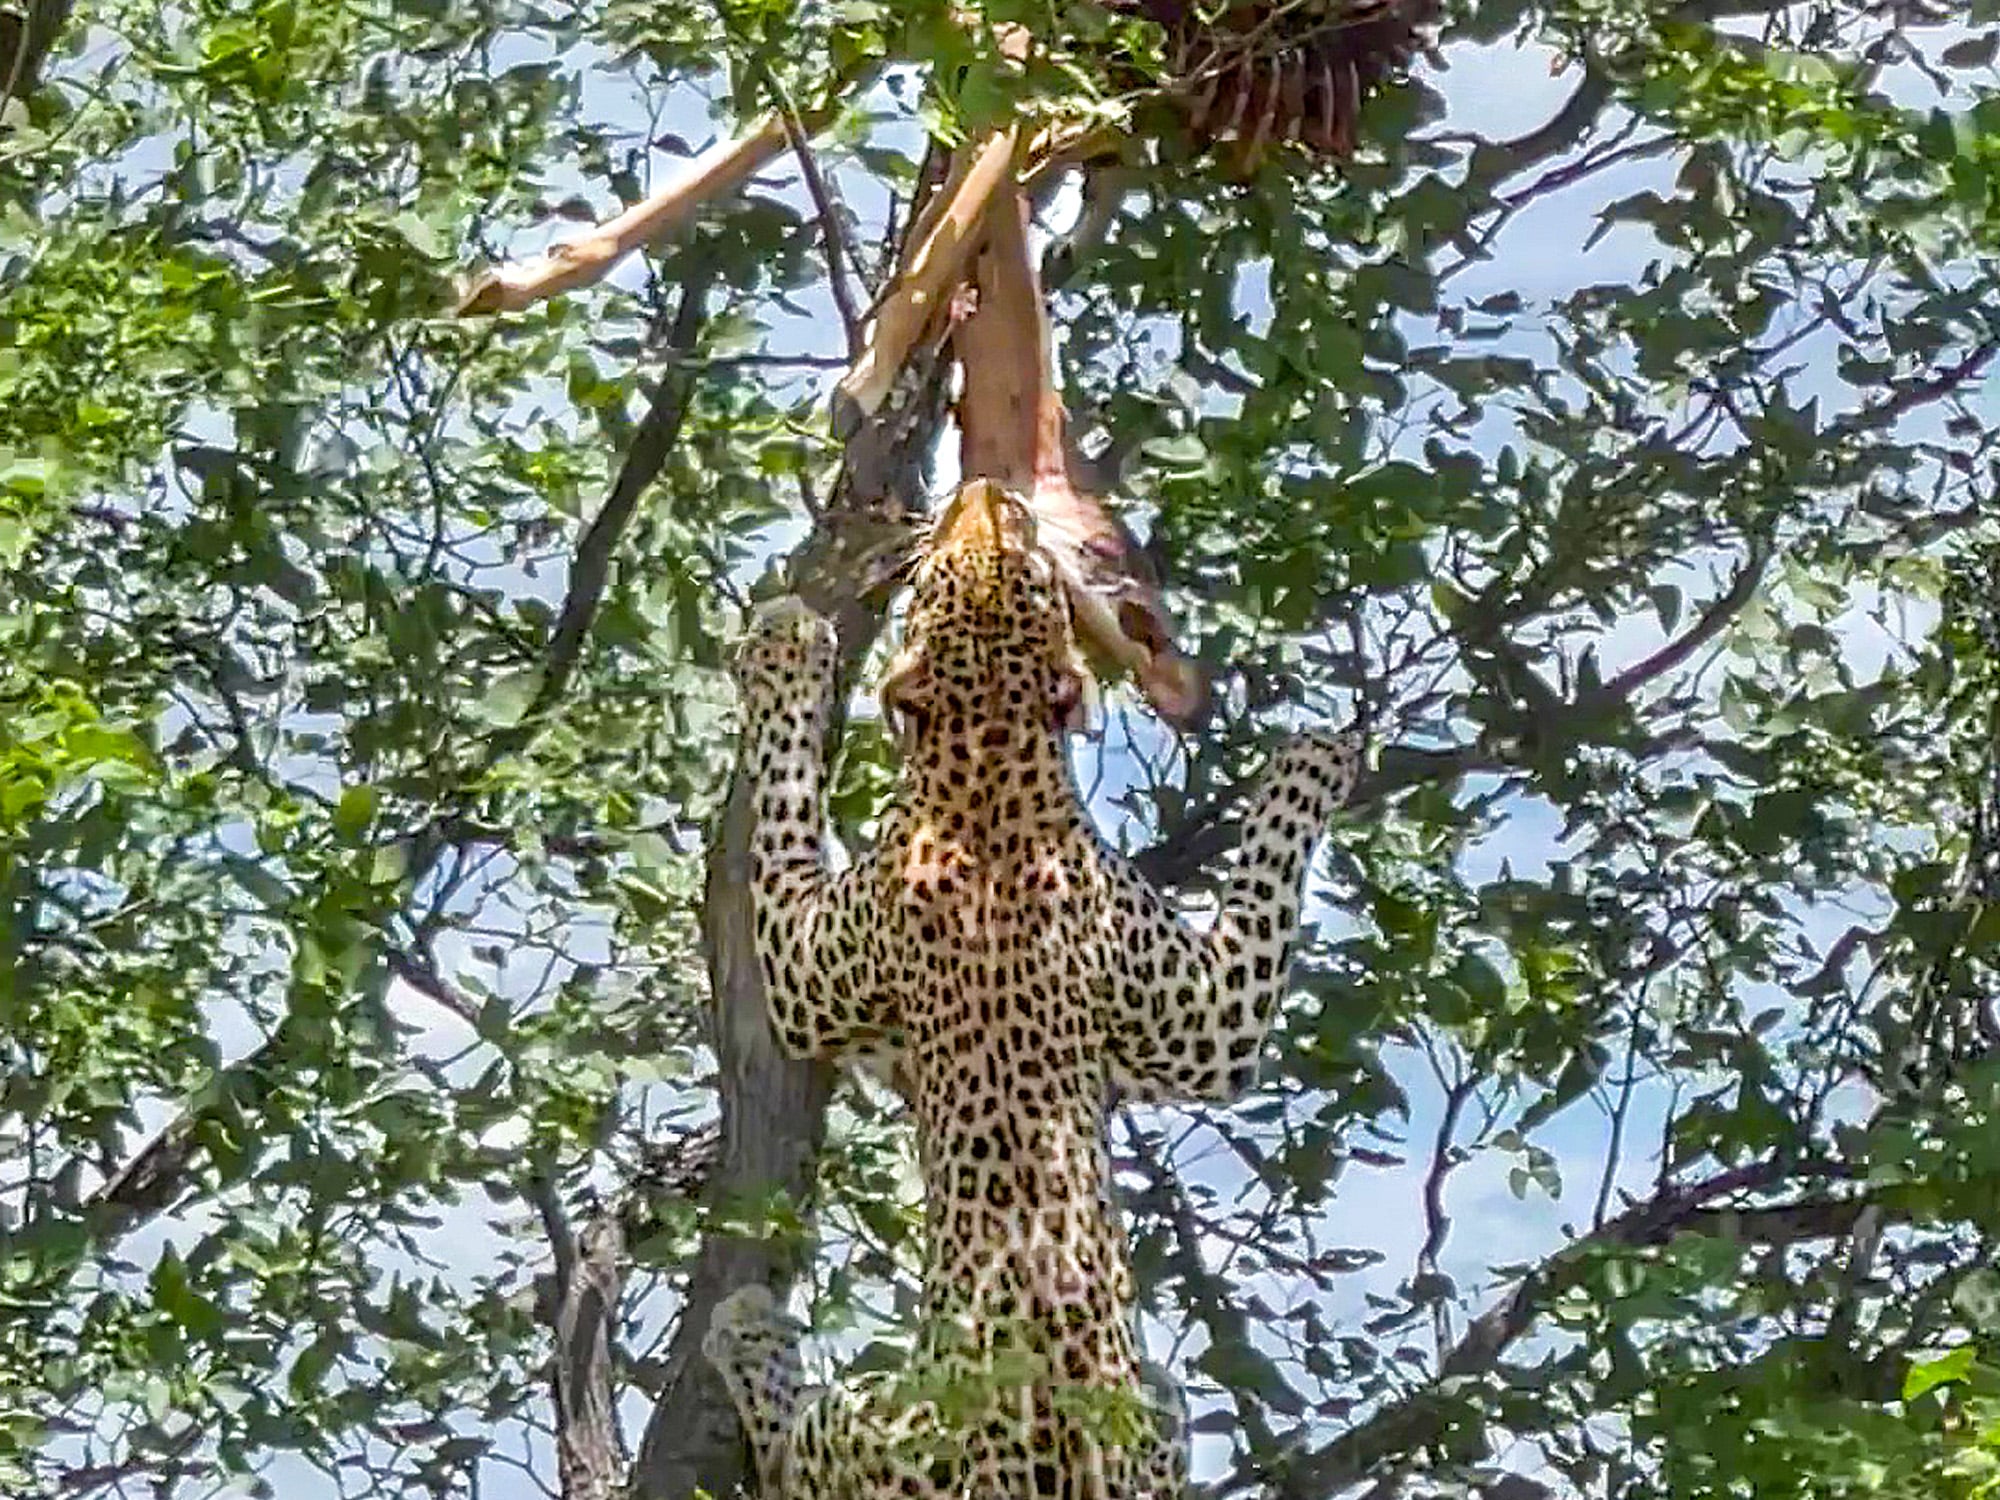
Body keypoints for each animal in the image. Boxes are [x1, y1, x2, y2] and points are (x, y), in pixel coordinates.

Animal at [705, 477, 1363, 1498]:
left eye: (1015, 565)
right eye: (960, 566)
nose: (985, 491)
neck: (991, 754)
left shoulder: (809, 966)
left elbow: (782, 806)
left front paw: (786, 655)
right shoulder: (1203, 1016)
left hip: (869, 1424)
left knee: (790, 1454)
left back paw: (745, 1334)